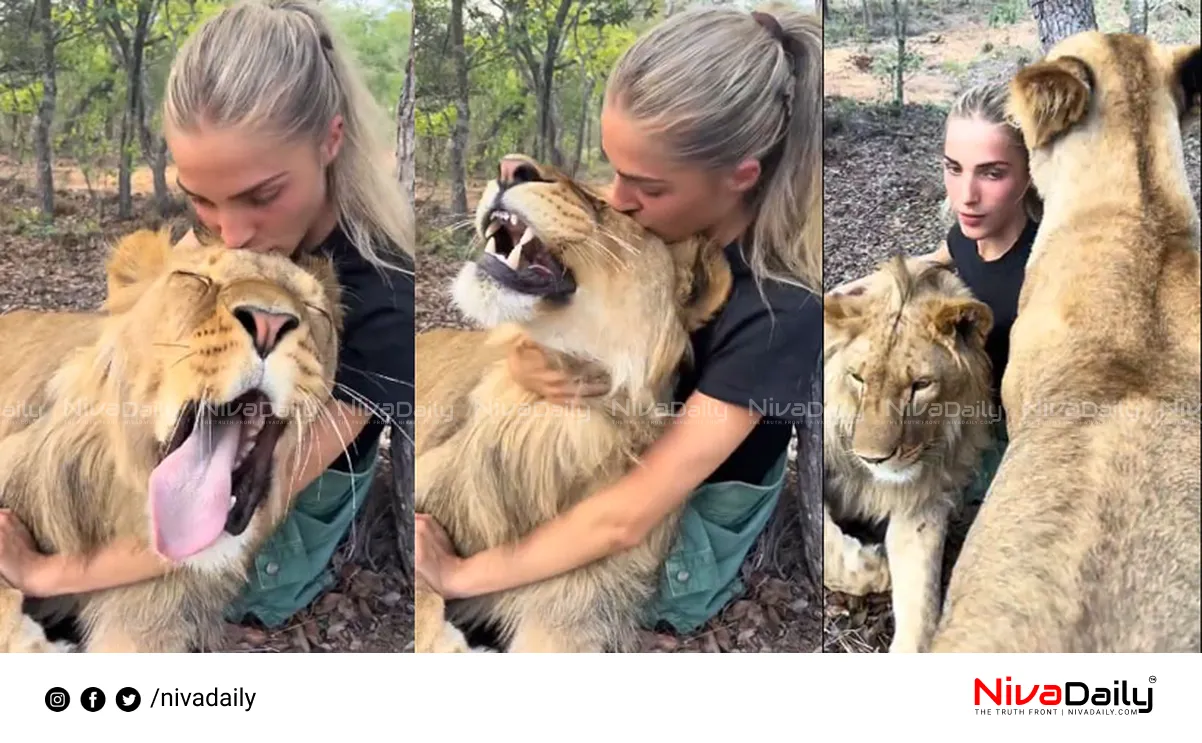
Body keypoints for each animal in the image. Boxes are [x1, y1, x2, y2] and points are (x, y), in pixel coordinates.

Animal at [817, 254, 995, 649]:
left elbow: (921, 599)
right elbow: (831, 552)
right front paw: (878, 567)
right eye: (858, 378)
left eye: (921, 385)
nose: (873, 457)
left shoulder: (921, 502)